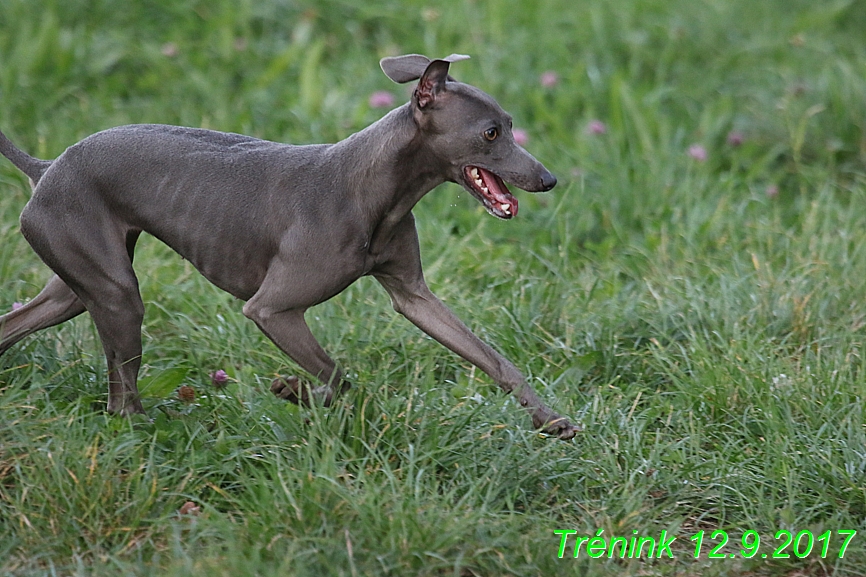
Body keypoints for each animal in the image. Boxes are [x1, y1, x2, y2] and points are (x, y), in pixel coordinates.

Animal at [1, 54, 580, 438]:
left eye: (510, 126)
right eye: (491, 133)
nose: (549, 180)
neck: (373, 187)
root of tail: (46, 167)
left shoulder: (414, 295)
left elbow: (494, 360)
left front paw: (552, 420)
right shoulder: (272, 309)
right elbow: (340, 378)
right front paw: (294, 393)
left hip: (76, 289)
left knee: (18, 325)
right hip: (117, 294)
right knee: (122, 401)